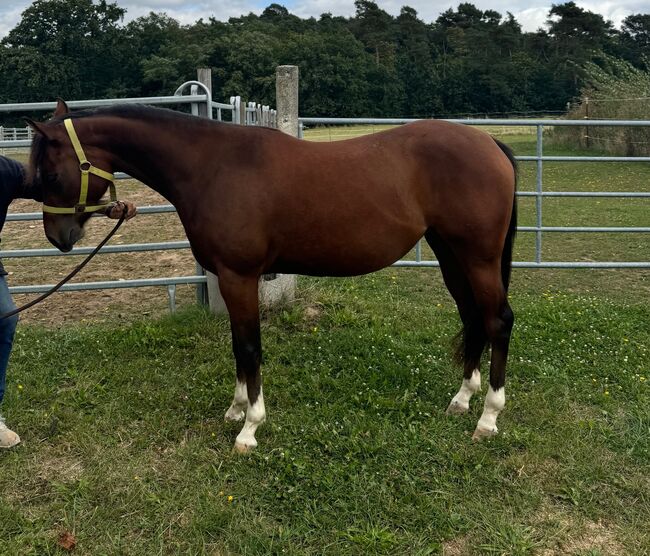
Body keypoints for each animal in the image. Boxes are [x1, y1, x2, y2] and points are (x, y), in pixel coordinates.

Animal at [26, 102, 516, 454]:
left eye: (49, 173)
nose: (58, 238)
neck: (212, 166)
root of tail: (489, 143)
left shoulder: (239, 277)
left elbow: (249, 347)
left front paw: (249, 428)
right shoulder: (230, 279)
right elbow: (237, 346)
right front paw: (236, 408)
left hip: (478, 257)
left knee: (498, 321)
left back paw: (488, 417)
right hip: (450, 254)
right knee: (472, 317)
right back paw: (461, 400)